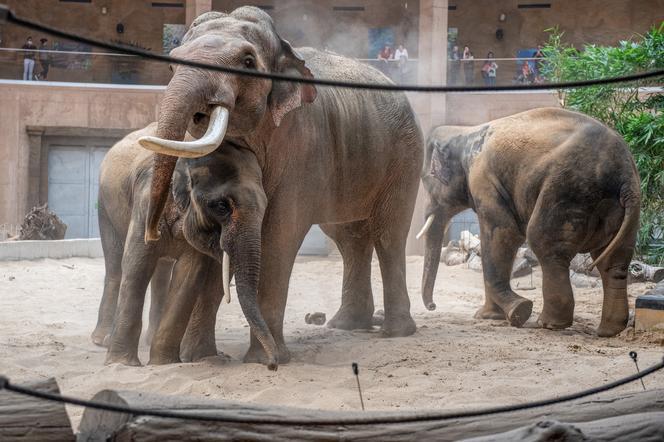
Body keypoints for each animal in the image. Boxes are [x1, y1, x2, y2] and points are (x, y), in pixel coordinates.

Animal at [113, 8, 420, 372]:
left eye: (247, 62)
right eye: (172, 66)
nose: (152, 233)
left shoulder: (303, 144)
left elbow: (279, 234)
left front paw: (265, 360)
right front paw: (205, 359)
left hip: (404, 155)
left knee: (389, 234)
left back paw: (397, 332)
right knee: (349, 238)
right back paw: (347, 326)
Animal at [418, 109, 640, 336]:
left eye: (426, 181)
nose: (433, 306)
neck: (464, 133)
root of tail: (624, 175)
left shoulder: (483, 179)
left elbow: (503, 233)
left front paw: (519, 310)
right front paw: (489, 316)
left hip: (567, 191)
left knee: (545, 245)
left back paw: (548, 324)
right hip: (622, 209)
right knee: (613, 262)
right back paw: (607, 331)